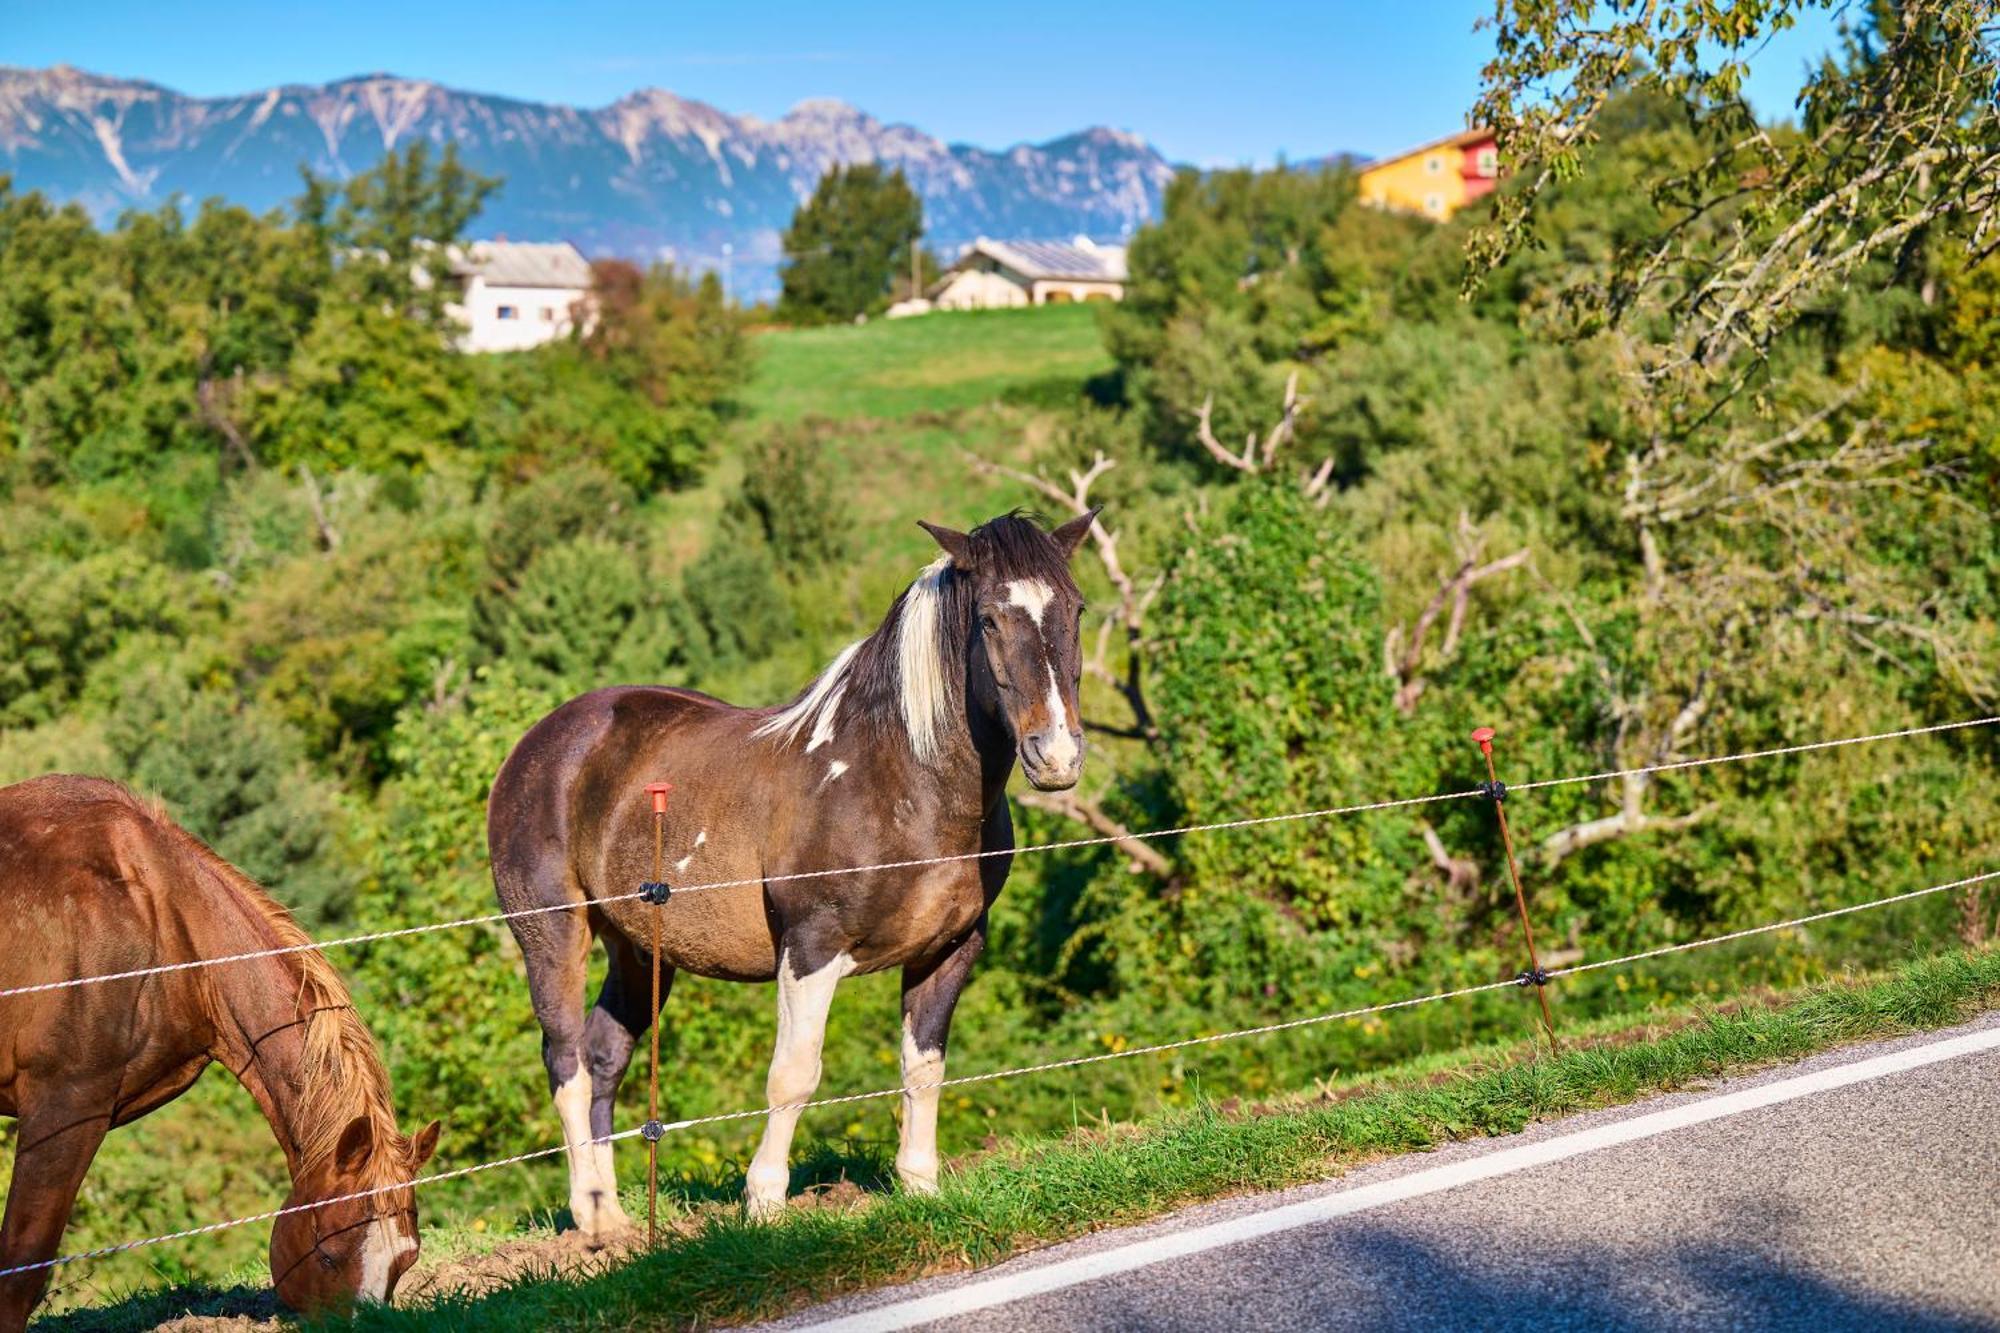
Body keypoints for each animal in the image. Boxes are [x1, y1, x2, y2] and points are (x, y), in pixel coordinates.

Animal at [494, 508, 1104, 1224]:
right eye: (988, 620)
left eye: (1076, 609)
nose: (1055, 755)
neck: (898, 780)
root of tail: (539, 742)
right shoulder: (812, 947)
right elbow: (793, 1074)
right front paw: (764, 1204)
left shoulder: (951, 949)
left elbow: (923, 1068)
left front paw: (919, 1186)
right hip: (554, 934)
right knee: (565, 1061)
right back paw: (594, 1220)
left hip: (638, 950)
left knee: (602, 1056)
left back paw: (614, 1214)